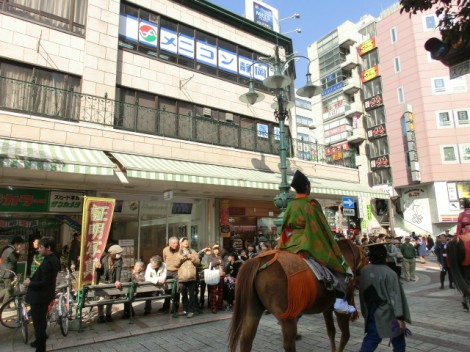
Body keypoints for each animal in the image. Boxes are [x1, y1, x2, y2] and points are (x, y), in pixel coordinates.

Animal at [228, 239, 364, 352]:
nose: (358, 281)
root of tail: (260, 260)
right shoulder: (341, 309)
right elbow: (345, 335)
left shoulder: (327, 308)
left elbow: (331, 331)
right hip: (287, 316)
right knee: (288, 344)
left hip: (253, 310)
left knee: (246, 341)